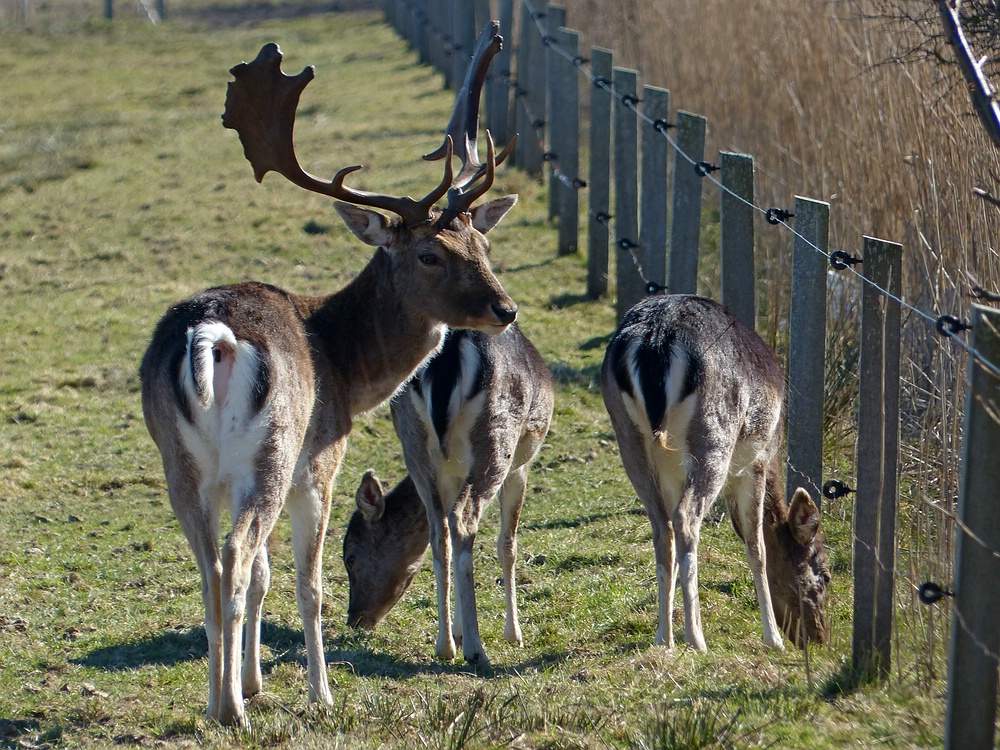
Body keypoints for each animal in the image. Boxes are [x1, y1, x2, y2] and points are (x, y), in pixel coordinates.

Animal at [142, 25, 524, 728]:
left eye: (481, 246)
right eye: (429, 254)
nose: (503, 310)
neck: (345, 363)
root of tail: (212, 338)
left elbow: (264, 580)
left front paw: (256, 682)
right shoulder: (318, 461)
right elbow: (305, 582)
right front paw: (316, 693)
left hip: (181, 462)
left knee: (212, 567)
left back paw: (220, 703)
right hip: (270, 451)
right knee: (236, 557)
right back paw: (232, 712)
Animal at [342, 326, 552, 668]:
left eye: (350, 556)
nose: (355, 619)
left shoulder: (451, 474)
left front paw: (457, 631)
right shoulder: (521, 466)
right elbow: (507, 545)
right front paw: (513, 634)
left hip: (413, 442)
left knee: (440, 532)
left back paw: (444, 646)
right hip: (498, 439)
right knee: (463, 522)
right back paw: (476, 650)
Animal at [600, 294, 828, 652]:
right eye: (823, 573)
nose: (819, 638)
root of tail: (654, 343)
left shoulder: (672, 474)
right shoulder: (757, 458)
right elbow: (757, 545)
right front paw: (773, 638)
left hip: (628, 438)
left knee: (662, 526)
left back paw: (664, 638)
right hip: (714, 435)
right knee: (686, 519)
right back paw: (696, 639)